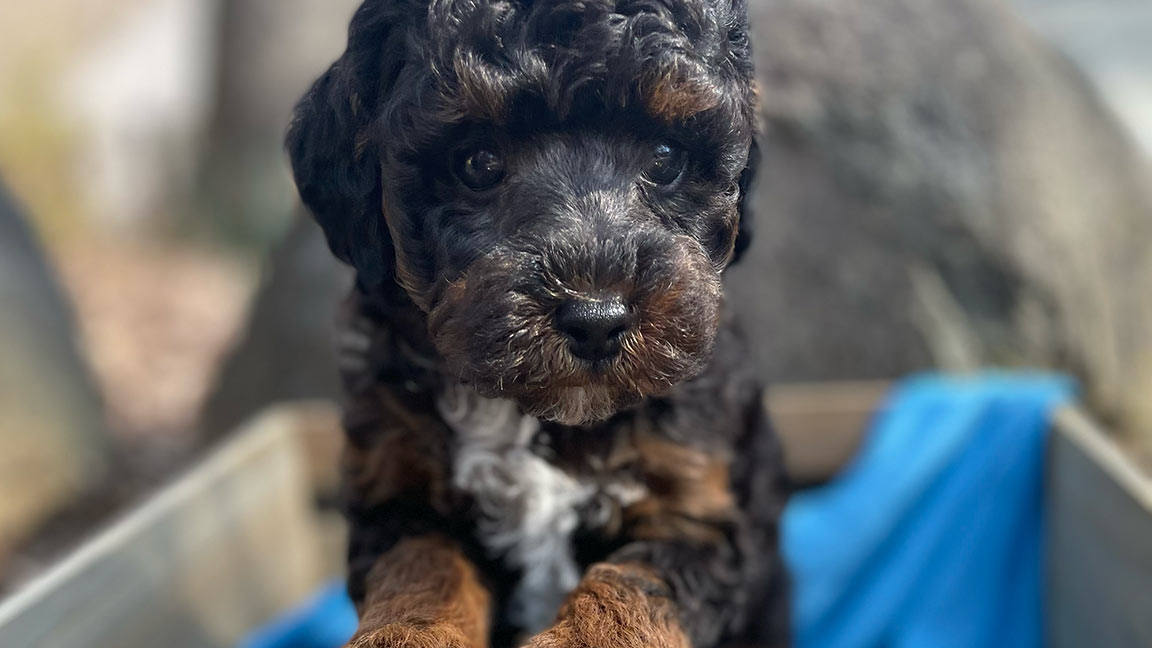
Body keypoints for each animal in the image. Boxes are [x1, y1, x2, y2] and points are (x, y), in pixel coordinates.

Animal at [288, 0, 792, 641]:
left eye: (665, 158)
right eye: (477, 162)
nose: (597, 319)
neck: (536, 417)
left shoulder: (696, 511)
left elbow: (622, 602)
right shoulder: (400, 492)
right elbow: (422, 577)